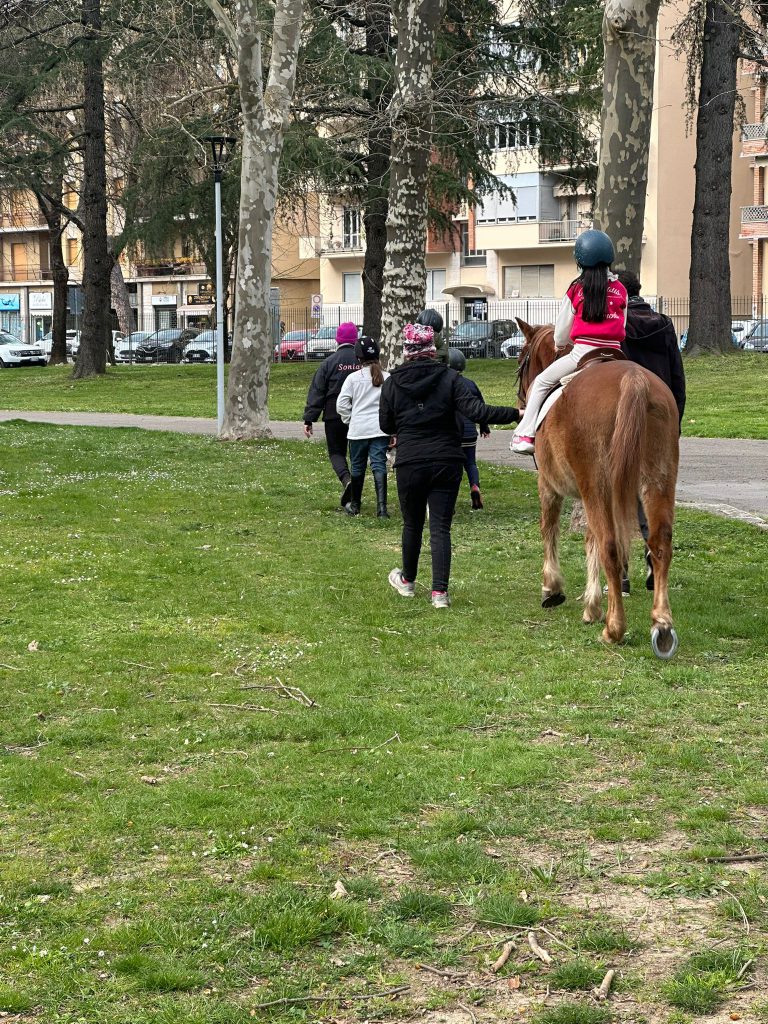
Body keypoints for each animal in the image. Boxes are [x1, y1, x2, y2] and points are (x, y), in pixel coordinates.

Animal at [515, 319, 680, 658]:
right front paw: (592, 604)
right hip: (656, 482)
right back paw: (662, 624)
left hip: (599, 486)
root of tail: (634, 381)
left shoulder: (549, 485)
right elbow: (589, 538)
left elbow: (550, 529)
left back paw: (614, 628)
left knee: (611, 547)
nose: (521, 404)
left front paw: (552, 588)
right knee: (659, 545)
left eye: (521, 360)